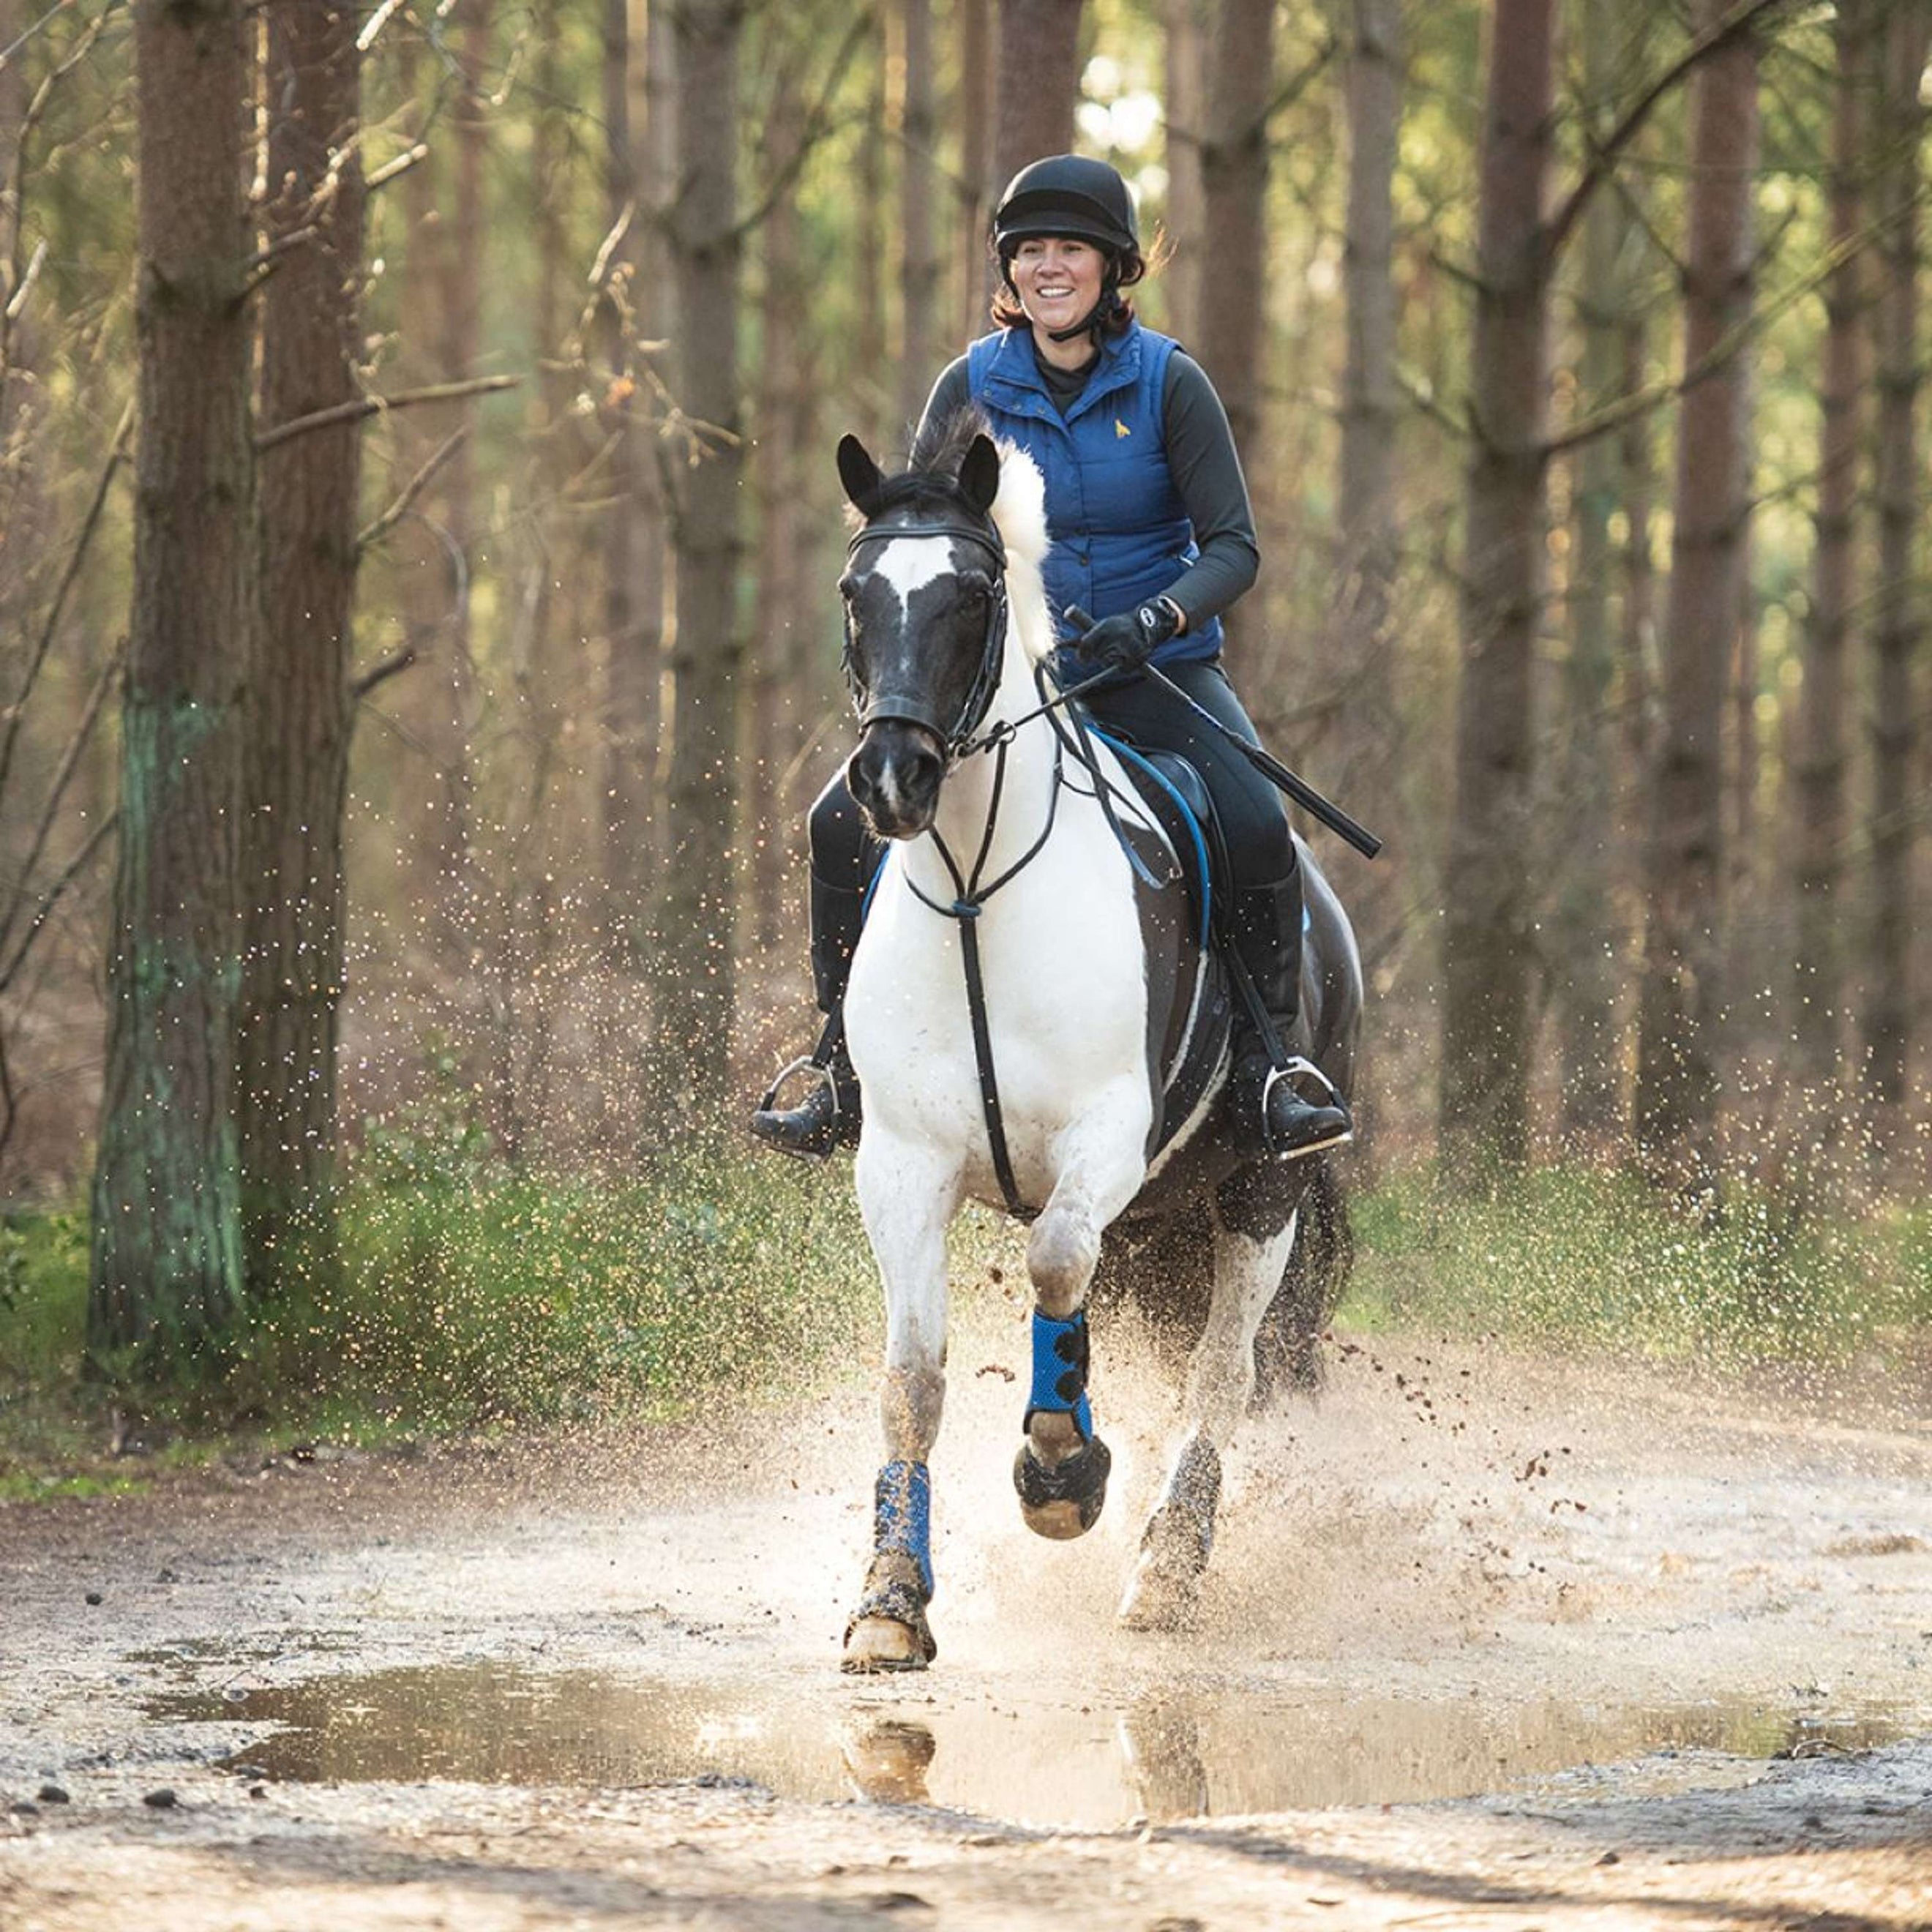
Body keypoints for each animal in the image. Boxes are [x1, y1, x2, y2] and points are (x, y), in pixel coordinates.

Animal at [831, 411, 1360, 1677]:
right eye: (856, 592)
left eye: (974, 594)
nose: (890, 778)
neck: (977, 887)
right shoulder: (902, 1164)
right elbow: (912, 1377)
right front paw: (890, 1599)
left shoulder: (1108, 1135)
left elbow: (1057, 1260)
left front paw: (1062, 1474)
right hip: (1164, 1222)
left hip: (1260, 1190)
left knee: (1224, 1373)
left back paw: (1168, 1568)